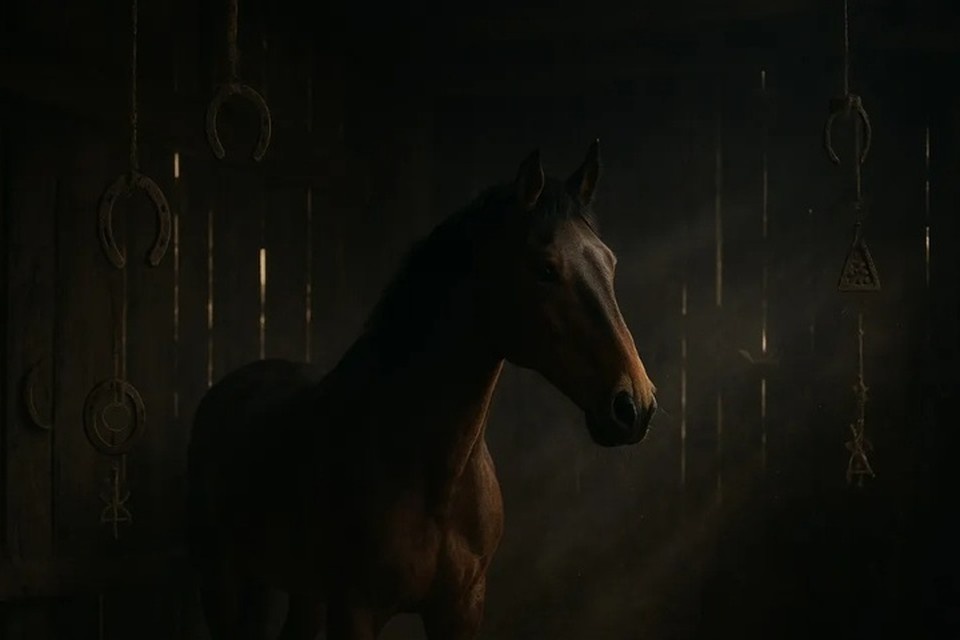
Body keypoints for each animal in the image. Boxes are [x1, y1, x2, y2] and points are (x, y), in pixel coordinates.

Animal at [186, 141, 658, 639]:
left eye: (609, 262)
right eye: (546, 269)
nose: (635, 405)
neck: (433, 476)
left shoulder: (461, 607)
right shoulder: (354, 609)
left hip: (300, 592)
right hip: (222, 581)